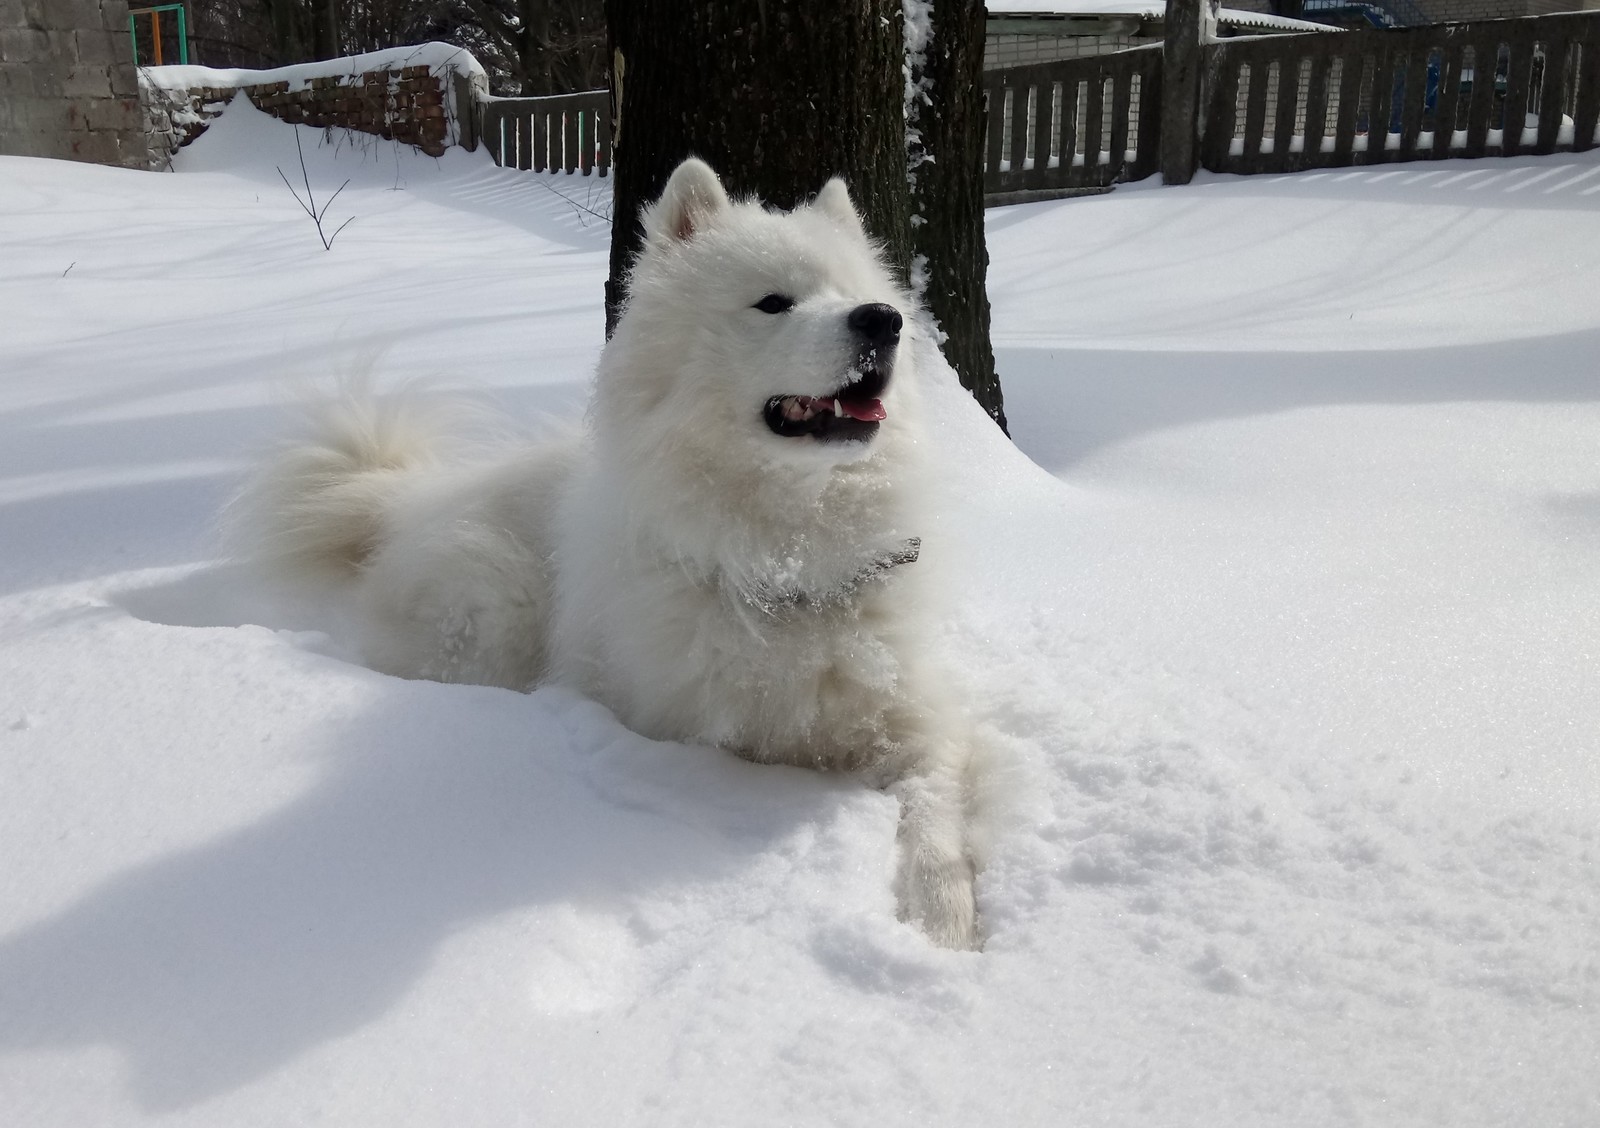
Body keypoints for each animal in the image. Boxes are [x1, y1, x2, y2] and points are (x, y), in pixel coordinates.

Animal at [240, 158, 972, 947]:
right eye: (773, 303)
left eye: (860, 295)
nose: (884, 320)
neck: (789, 562)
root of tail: (407, 503)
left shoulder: (916, 715)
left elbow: (937, 809)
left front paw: (946, 919)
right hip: (494, 609)